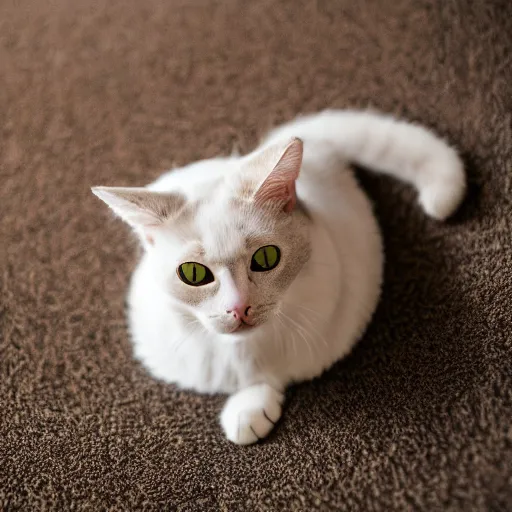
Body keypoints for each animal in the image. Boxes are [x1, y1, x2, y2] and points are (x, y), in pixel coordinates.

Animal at [92, 109, 464, 444]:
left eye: (266, 259)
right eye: (193, 274)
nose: (238, 307)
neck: (240, 351)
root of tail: (311, 146)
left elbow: (272, 374)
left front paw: (248, 411)